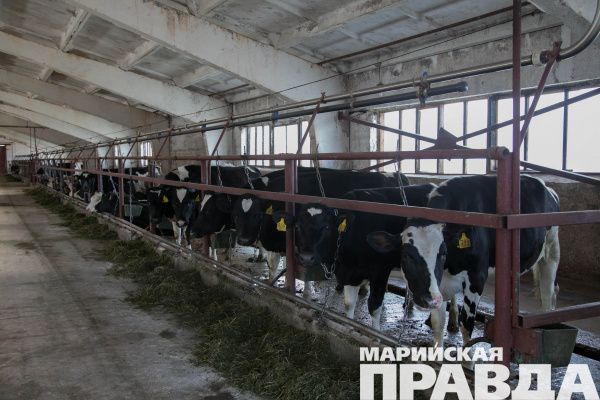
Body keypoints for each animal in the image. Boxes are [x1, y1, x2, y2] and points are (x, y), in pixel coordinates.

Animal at [276, 184, 434, 329]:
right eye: (297, 227)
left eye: (326, 227)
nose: (306, 257)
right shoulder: (350, 272)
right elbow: (349, 303)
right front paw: (349, 326)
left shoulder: (380, 270)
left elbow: (374, 305)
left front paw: (375, 333)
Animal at [367, 175, 560, 348]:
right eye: (406, 255)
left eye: (442, 254)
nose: (427, 300)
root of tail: (547, 188)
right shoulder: (440, 284)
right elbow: (438, 322)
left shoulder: (476, 277)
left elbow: (466, 325)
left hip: (551, 251)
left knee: (548, 292)